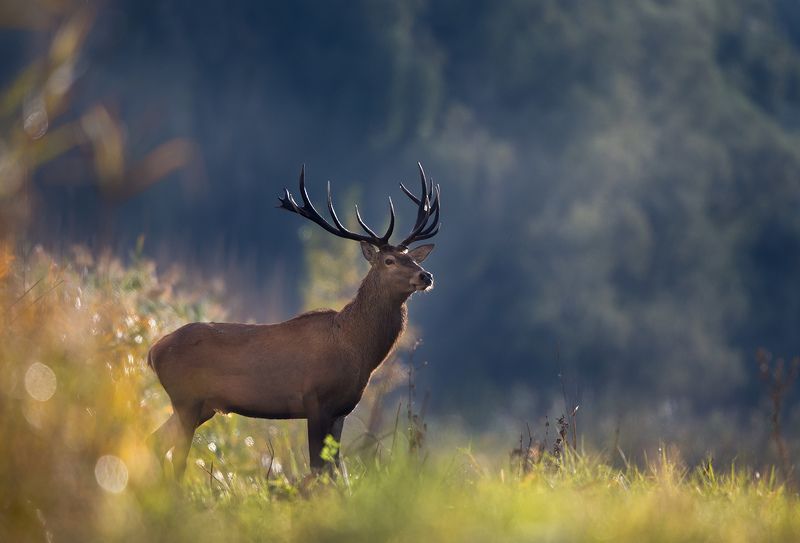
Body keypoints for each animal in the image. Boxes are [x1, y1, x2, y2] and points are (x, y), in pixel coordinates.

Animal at [148, 163, 440, 478]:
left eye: (413, 258)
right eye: (389, 261)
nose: (425, 275)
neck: (355, 347)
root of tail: (153, 352)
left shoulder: (341, 409)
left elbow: (336, 470)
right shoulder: (315, 399)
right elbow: (318, 469)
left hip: (203, 406)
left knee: (153, 441)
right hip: (186, 399)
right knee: (175, 455)